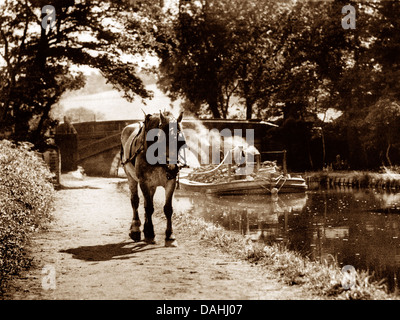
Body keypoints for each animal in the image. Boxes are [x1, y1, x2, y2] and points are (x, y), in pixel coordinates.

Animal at [121, 111, 185, 246]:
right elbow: (149, 207)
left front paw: (170, 236)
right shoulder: (144, 182)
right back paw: (136, 228)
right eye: (160, 141)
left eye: (181, 142)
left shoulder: (170, 182)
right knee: (135, 201)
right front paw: (150, 233)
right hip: (131, 177)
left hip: (153, 185)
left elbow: (167, 209)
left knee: (146, 201)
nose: (172, 168)